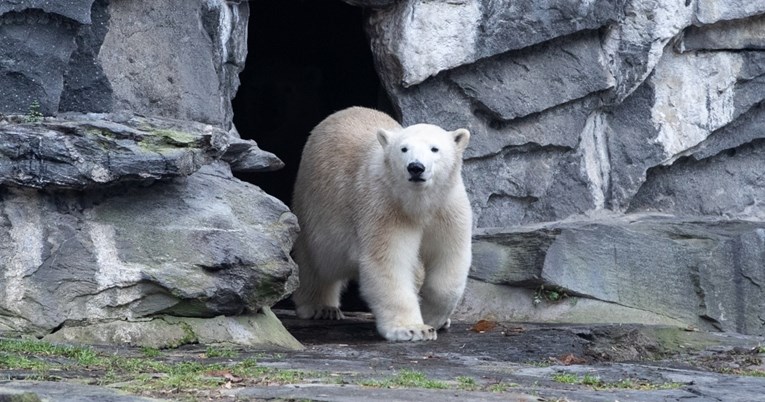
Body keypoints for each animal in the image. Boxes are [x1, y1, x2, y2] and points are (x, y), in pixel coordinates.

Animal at [290, 107, 472, 342]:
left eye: (435, 148)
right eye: (404, 149)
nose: (416, 168)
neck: (418, 204)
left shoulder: (447, 209)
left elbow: (449, 258)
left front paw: (433, 318)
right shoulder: (385, 207)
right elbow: (389, 261)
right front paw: (414, 328)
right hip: (316, 206)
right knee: (317, 258)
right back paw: (320, 307)